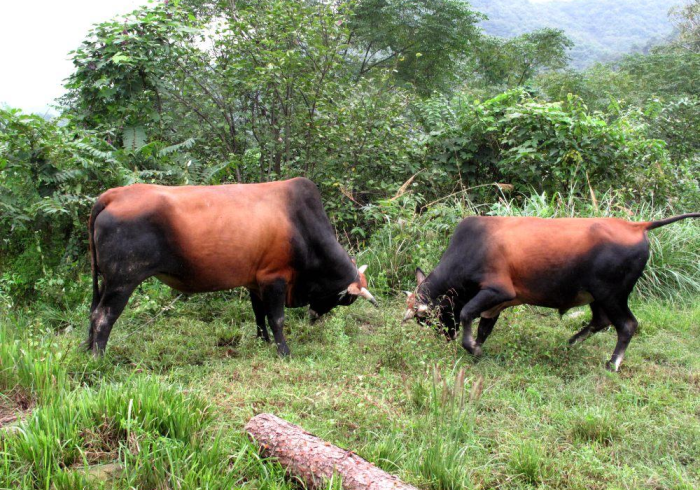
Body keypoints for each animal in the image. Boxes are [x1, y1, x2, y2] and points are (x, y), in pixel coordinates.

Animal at [87, 177, 377, 357]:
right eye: (344, 299)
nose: (314, 316)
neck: (301, 225)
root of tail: (114, 195)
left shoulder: (255, 282)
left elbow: (259, 315)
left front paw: (263, 341)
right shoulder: (274, 279)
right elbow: (277, 318)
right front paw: (283, 351)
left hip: (106, 281)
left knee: (93, 312)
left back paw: (86, 350)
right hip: (123, 281)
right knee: (104, 316)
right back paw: (99, 357)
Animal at [402, 213, 699, 371]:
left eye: (428, 318)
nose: (446, 337)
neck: (470, 249)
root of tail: (636, 225)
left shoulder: (497, 290)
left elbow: (466, 313)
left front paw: (471, 347)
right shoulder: (498, 303)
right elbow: (485, 327)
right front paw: (477, 346)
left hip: (612, 294)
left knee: (627, 325)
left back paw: (613, 363)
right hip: (597, 295)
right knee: (601, 320)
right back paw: (572, 342)